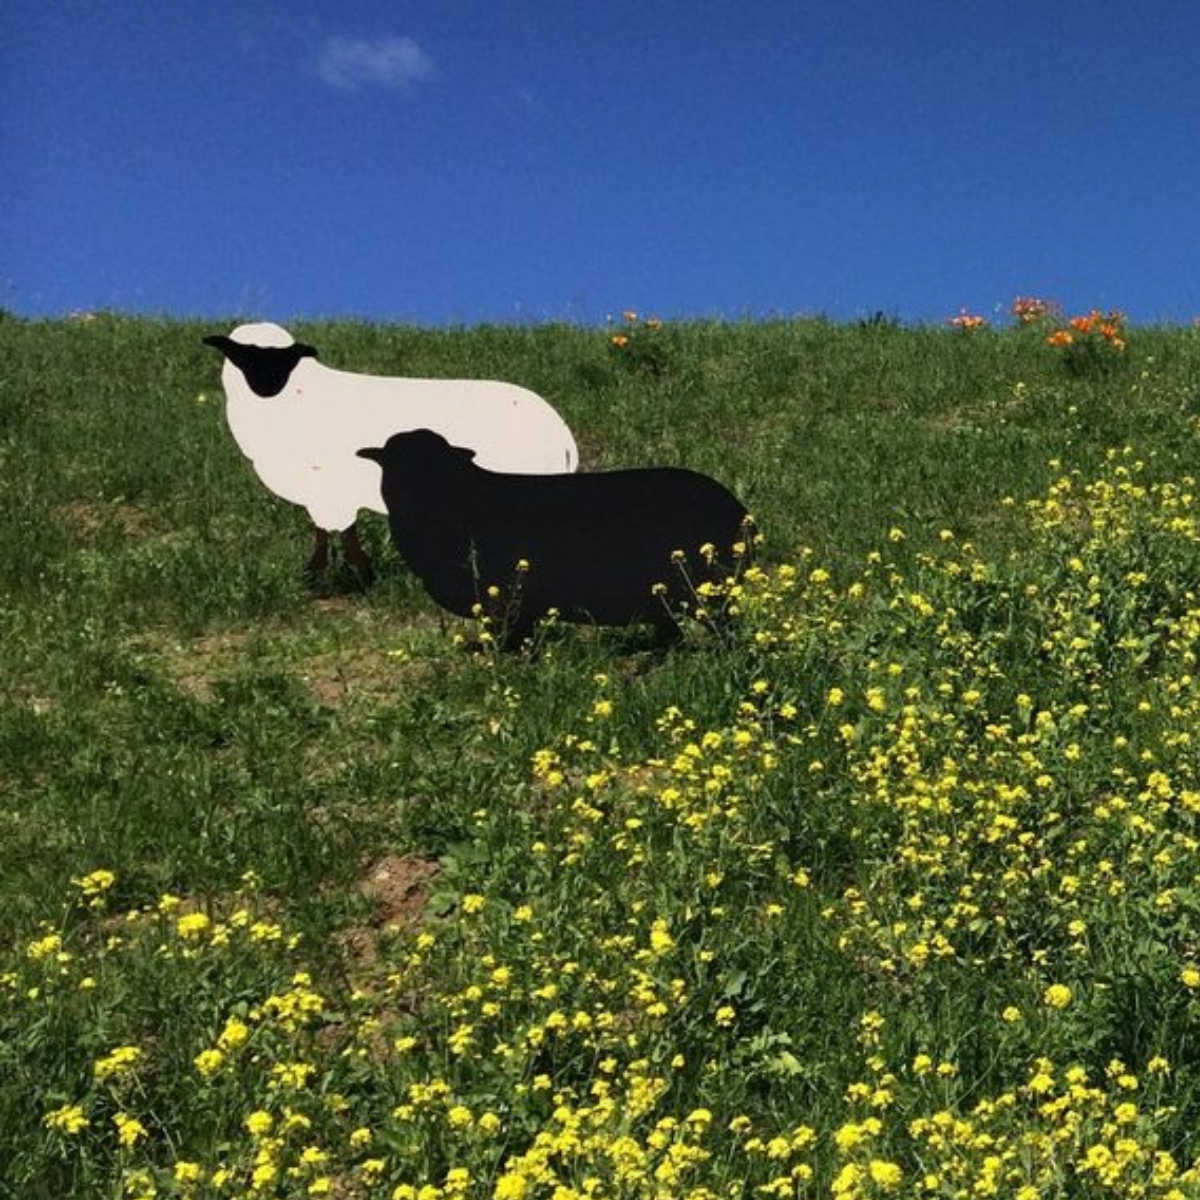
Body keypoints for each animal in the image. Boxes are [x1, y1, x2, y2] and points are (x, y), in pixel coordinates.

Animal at [202, 322, 578, 583]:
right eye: (242, 354)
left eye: (287, 358)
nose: (266, 386)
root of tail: (560, 430)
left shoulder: (329, 493)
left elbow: (335, 538)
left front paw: (334, 580)